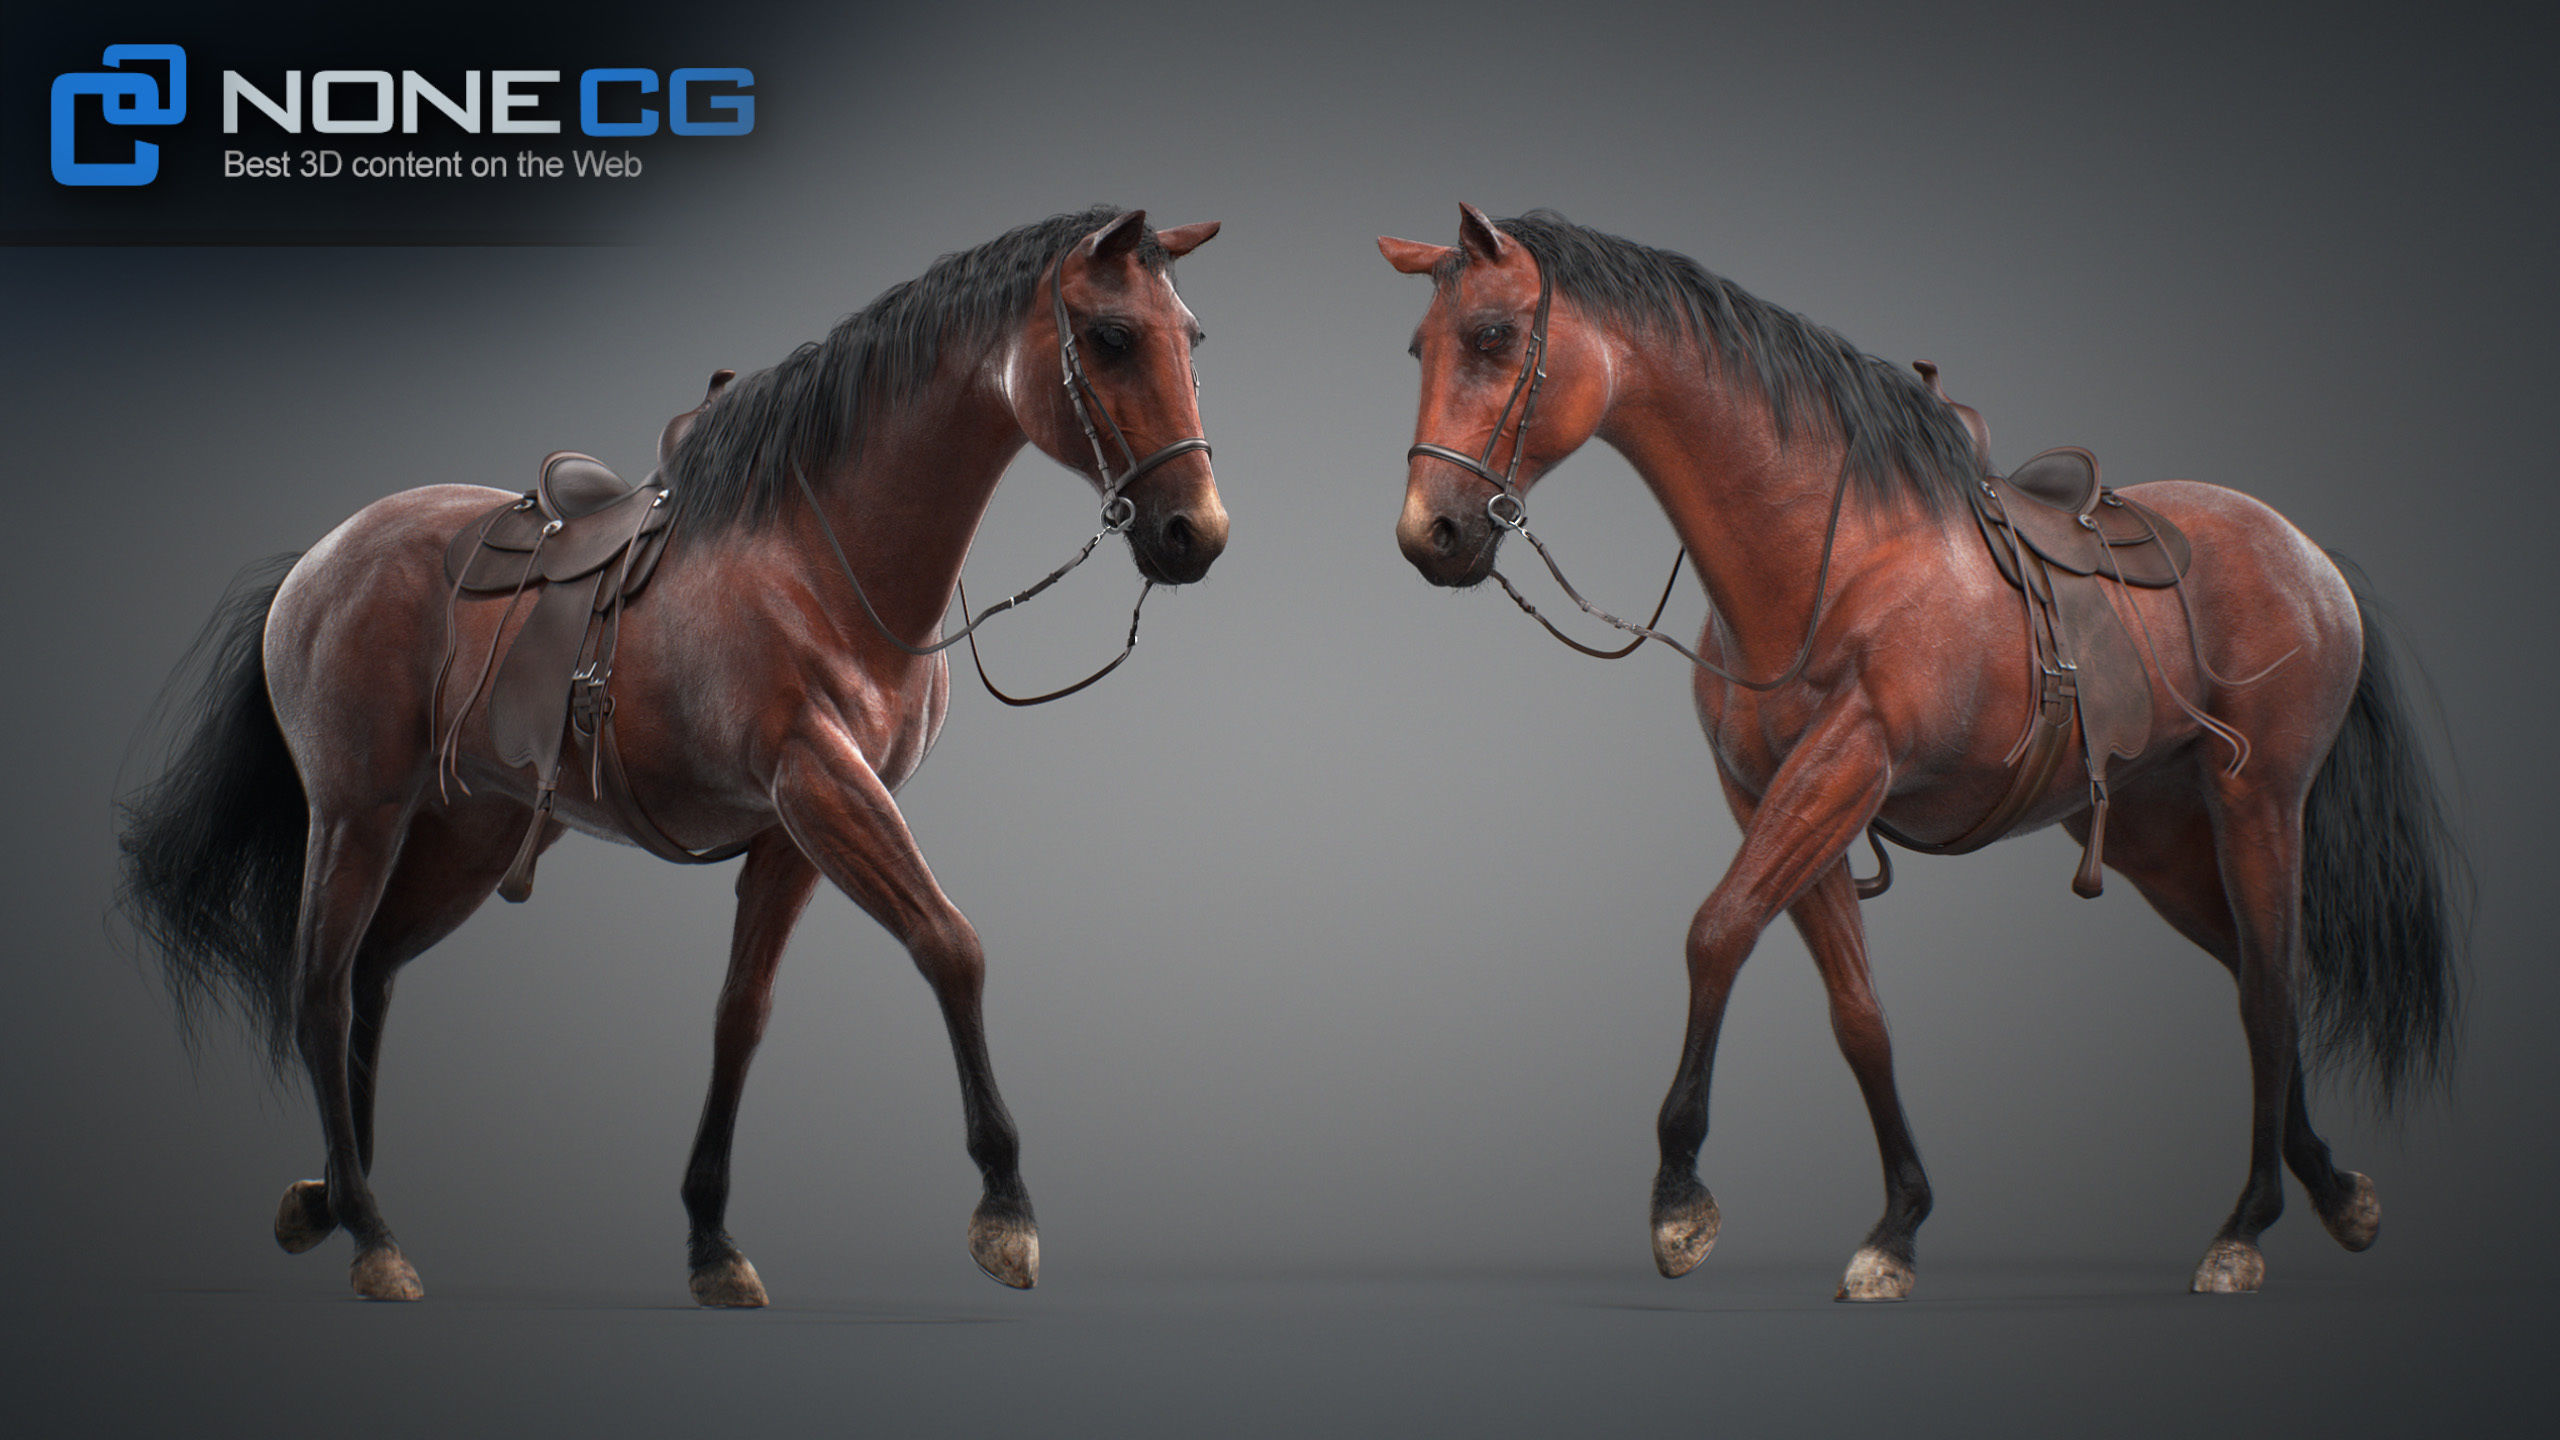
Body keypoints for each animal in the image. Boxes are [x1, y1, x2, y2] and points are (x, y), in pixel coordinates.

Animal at [118, 205, 1229, 1305]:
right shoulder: (822, 784)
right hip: (357, 814)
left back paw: (329, 1195)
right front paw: (1005, 1209)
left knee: (373, 973)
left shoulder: (792, 832)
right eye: (1111, 337)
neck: (819, 561)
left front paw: (709, 1237)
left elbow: (741, 1014)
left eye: (1194, 337)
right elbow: (950, 945)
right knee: (318, 985)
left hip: (465, 833)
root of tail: (318, 561)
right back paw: (371, 1234)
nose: (1198, 534)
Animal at [1378, 205, 2463, 1300]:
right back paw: (2332, 1190)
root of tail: (2310, 559)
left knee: (2273, 984)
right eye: (1420, 348)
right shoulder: (1774, 798)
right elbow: (1858, 1013)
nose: (1431, 534)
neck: (1831, 559)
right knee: (2253, 969)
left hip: (2259, 803)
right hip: (2154, 838)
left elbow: (1717, 931)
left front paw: (1678, 1200)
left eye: (1493, 338)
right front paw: (1897, 1224)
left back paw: (2245, 1226)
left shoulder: (1847, 766)